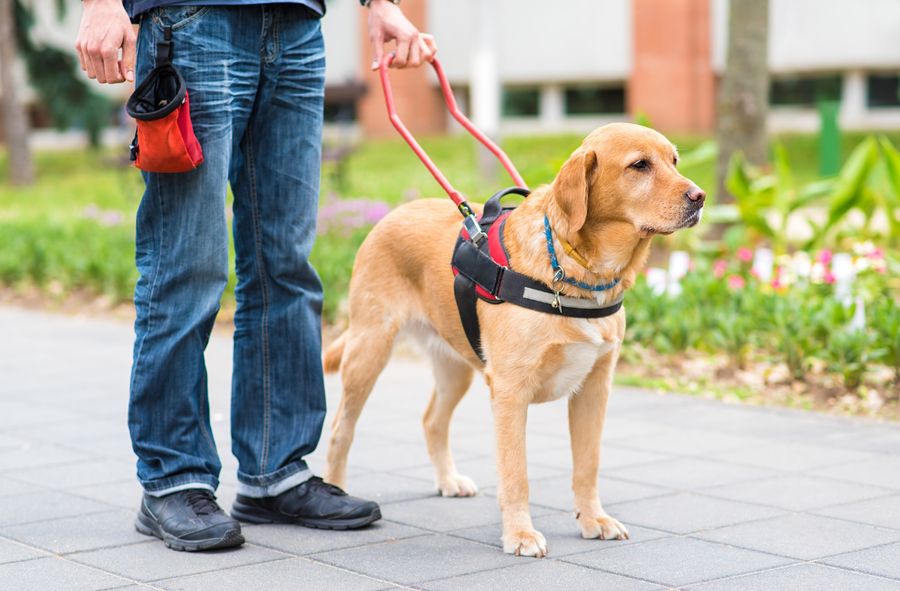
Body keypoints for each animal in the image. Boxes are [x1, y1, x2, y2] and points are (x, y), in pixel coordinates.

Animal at [322, 122, 704, 556]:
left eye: (674, 161)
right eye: (639, 165)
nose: (700, 197)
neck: (580, 270)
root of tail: (393, 212)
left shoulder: (594, 389)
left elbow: (587, 466)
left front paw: (593, 519)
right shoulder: (509, 392)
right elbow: (516, 473)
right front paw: (520, 534)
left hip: (456, 367)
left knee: (432, 420)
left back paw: (447, 480)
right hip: (369, 351)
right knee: (341, 429)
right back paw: (336, 492)